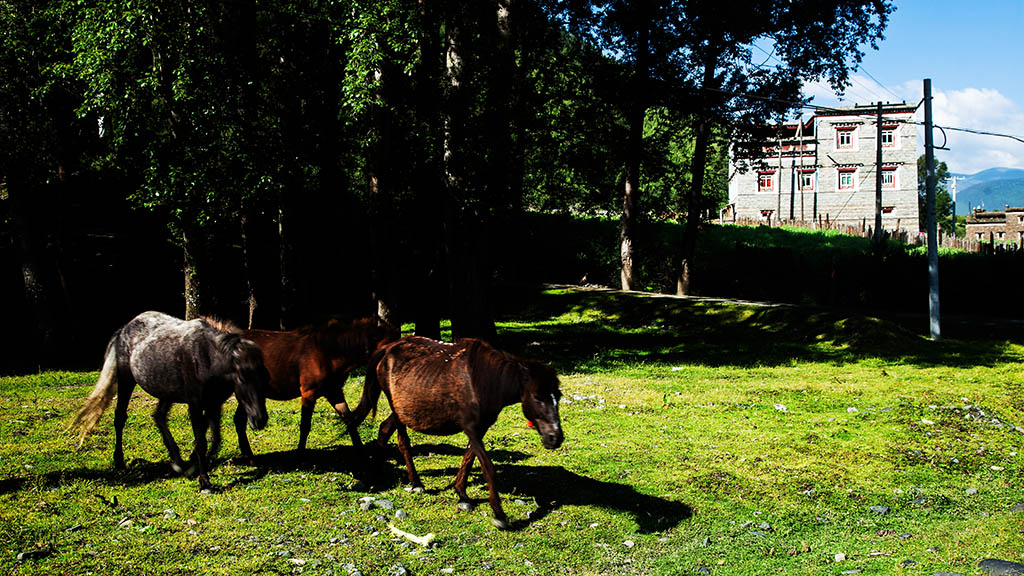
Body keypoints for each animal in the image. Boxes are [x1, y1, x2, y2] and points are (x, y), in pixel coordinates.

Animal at [74, 311, 268, 485]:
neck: (208, 358)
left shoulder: (214, 403)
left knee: (159, 416)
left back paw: (177, 461)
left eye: (264, 377)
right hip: (126, 380)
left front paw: (191, 467)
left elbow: (214, 440)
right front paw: (204, 481)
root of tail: (124, 329)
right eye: (242, 378)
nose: (260, 420)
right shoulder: (195, 404)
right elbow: (202, 442)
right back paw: (119, 461)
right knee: (120, 417)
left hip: (165, 391)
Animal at [237, 315, 397, 459]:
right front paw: (300, 454)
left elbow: (349, 420)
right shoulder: (309, 393)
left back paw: (248, 455)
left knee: (238, 421)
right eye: (389, 347)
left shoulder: (334, 391)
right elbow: (305, 425)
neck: (328, 353)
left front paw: (361, 451)